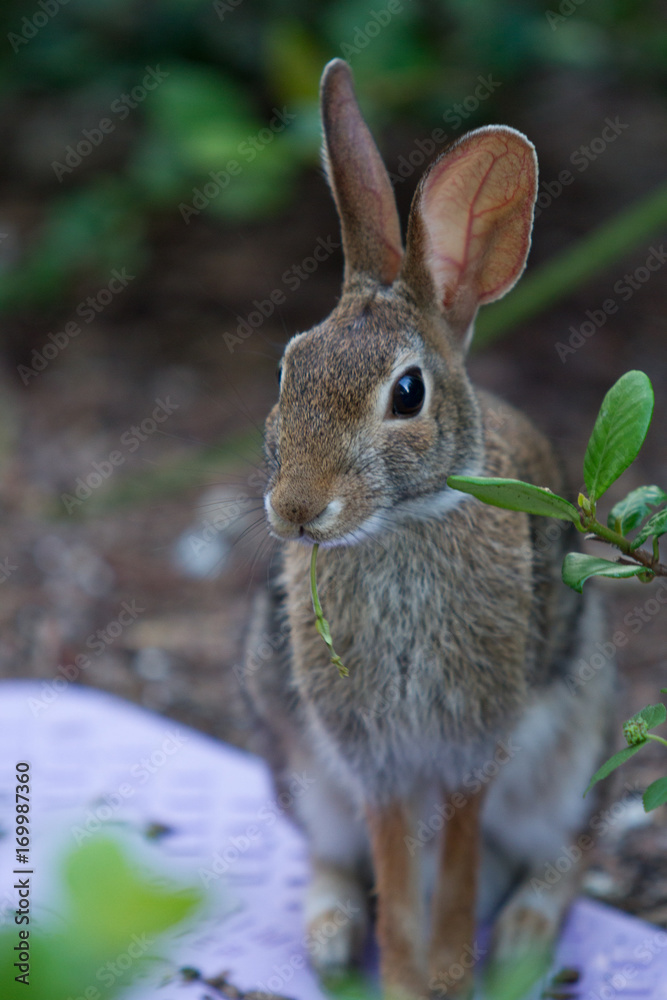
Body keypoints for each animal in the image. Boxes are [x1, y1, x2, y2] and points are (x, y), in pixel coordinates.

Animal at [241, 58, 615, 1000]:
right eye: (288, 367)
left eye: (406, 394)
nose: (296, 509)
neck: (402, 526)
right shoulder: (369, 761)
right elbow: (392, 857)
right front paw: (407, 978)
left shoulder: (472, 747)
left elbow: (455, 856)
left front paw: (446, 974)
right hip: (298, 763)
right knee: (333, 855)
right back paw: (334, 939)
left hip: (573, 739)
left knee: (569, 843)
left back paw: (519, 939)